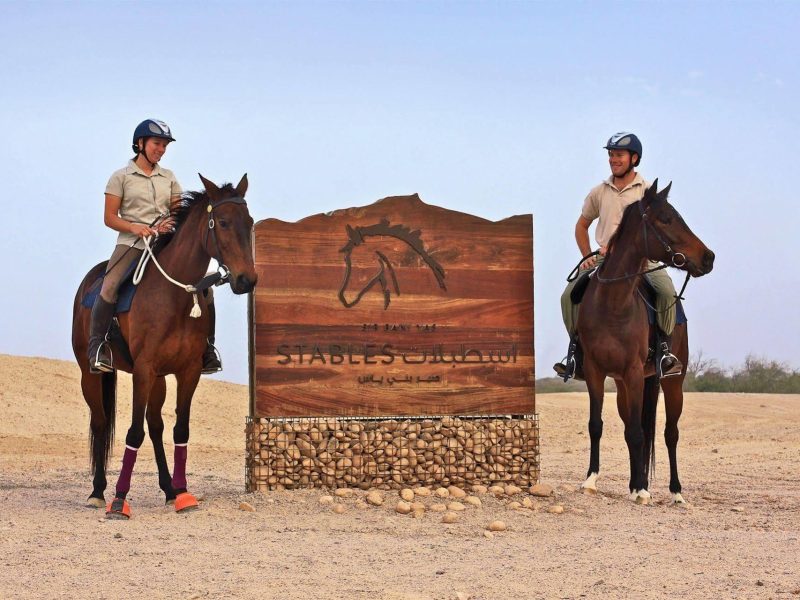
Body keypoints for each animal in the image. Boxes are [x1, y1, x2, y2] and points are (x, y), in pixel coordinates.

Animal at [71, 172, 255, 516]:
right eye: (223, 223)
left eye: (249, 222)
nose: (247, 280)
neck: (174, 297)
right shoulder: (143, 370)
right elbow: (133, 432)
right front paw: (120, 500)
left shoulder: (188, 372)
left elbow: (179, 430)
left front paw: (182, 492)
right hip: (92, 374)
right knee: (101, 423)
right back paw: (98, 491)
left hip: (158, 380)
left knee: (155, 425)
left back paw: (168, 489)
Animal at [580, 180, 716, 504]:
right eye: (666, 218)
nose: (708, 257)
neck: (614, 303)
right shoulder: (595, 372)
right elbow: (598, 425)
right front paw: (592, 479)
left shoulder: (633, 372)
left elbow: (639, 433)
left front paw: (642, 488)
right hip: (625, 385)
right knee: (635, 427)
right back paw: (634, 482)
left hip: (672, 382)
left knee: (669, 433)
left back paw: (675, 492)